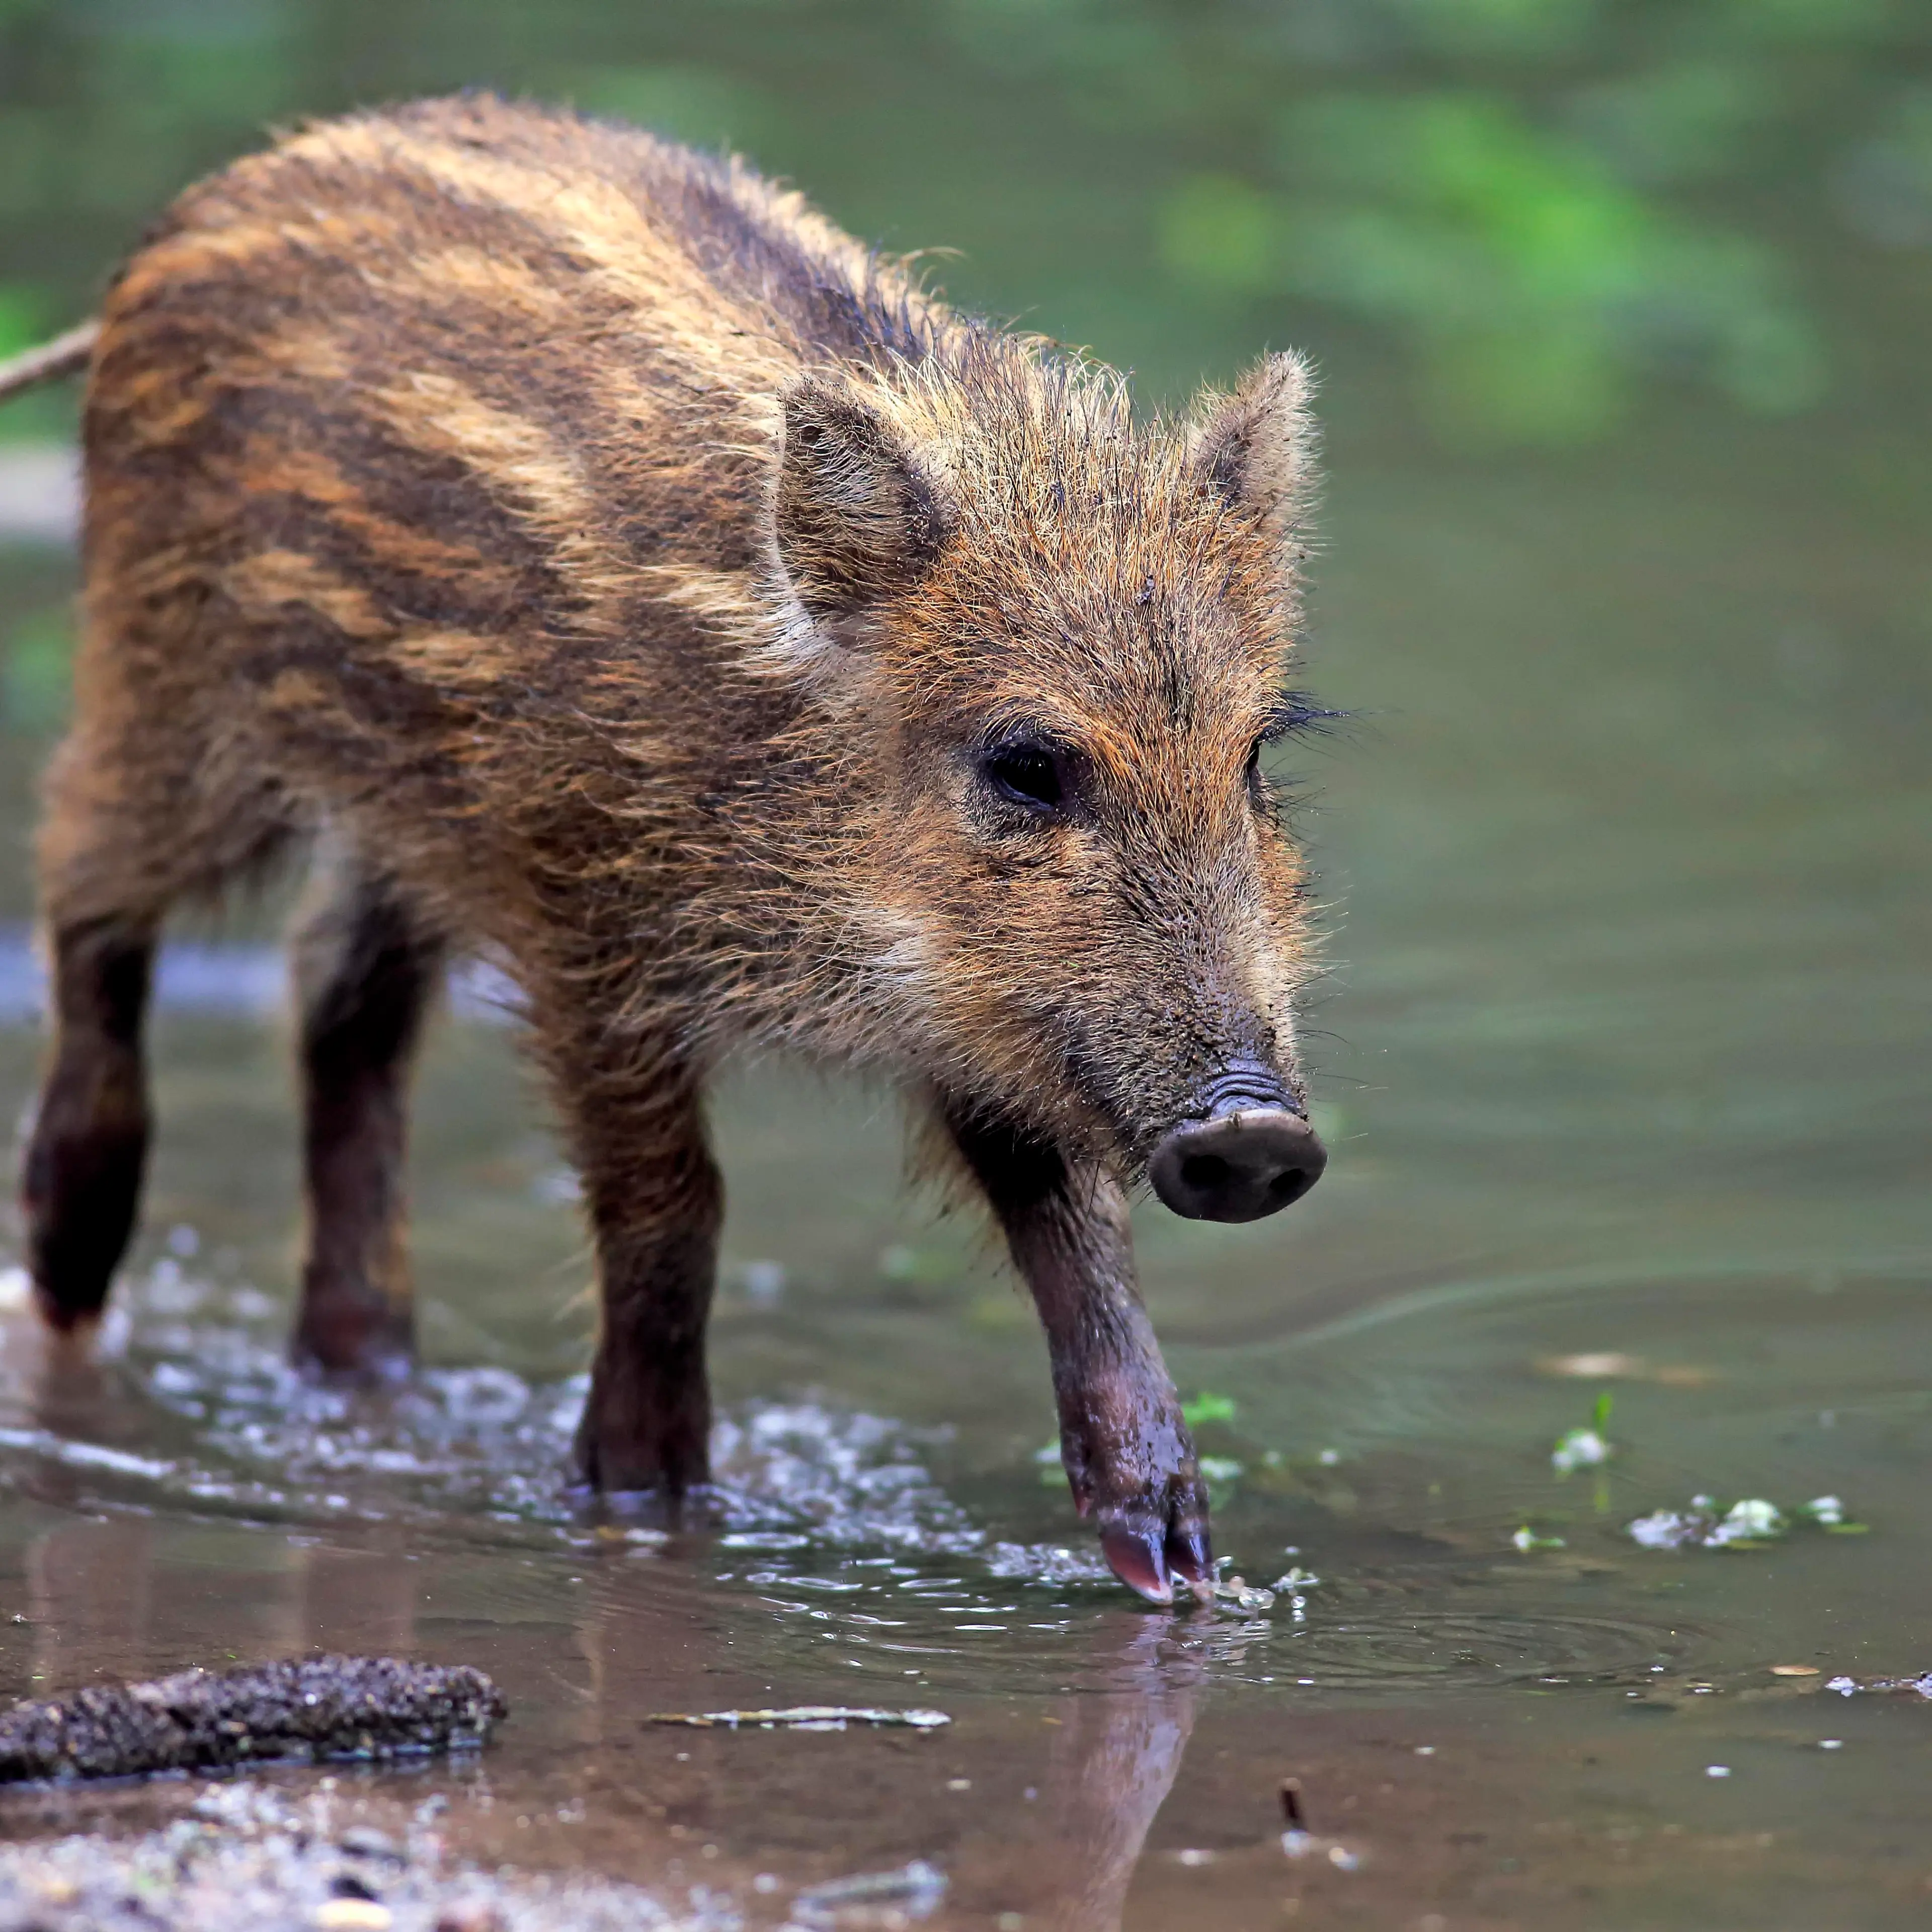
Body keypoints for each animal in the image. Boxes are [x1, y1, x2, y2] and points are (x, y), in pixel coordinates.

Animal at [4, 96, 1329, 1602]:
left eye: (1254, 756)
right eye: (1025, 764)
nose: (1257, 1132)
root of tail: (221, 193)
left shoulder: (990, 1016)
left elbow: (1079, 1237)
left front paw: (1178, 1558)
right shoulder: (584, 924)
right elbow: (673, 1208)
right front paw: (645, 1499)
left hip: (400, 819)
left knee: (337, 1001)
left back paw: (366, 1371)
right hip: (168, 687)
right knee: (86, 880)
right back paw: (69, 1269)